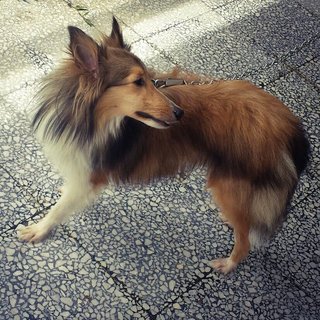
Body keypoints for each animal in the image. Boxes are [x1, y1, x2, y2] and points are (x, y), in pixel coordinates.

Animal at [16, 16, 308, 272]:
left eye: (148, 78)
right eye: (138, 81)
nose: (179, 113)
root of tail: (289, 123)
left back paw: (228, 263)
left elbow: (60, 208)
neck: (89, 118)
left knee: (246, 239)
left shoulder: (90, 174)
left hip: (227, 184)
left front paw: (39, 229)